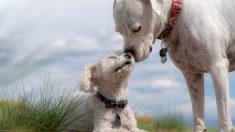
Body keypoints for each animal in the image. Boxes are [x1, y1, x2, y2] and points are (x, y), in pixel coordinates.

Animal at [113, 0, 234, 132]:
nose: (128, 51)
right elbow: (198, 114)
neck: (176, 15)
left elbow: (223, 113)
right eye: (119, 32)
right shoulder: (192, 76)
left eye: (137, 29)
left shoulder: (217, 67)